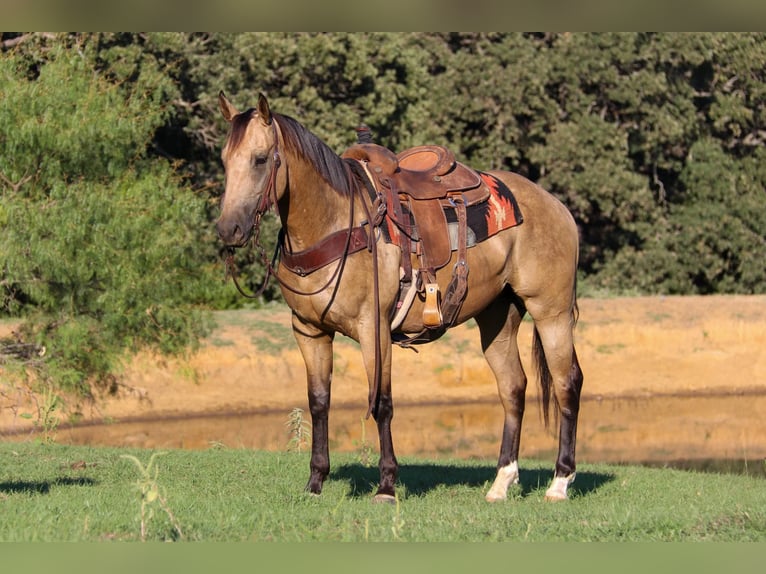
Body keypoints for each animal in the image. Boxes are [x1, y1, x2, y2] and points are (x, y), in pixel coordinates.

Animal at [213, 90, 584, 504]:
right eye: (225, 160)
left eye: (261, 159)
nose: (228, 229)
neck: (336, 222)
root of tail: (557, 207)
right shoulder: (309, 331)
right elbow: (319, 401)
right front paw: (315, 482)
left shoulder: (373, 328)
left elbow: (382, 403)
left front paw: (387, 486)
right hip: (497, 317)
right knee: (513, 388)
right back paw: (501, 482)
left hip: (550, 312)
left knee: (567, 383)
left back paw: (560, 481)